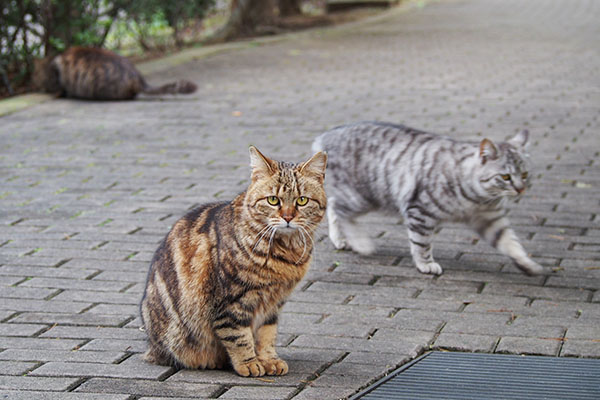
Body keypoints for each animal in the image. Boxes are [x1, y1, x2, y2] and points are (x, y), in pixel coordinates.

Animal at [141, 146, 328, 376]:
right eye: (273, 200)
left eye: (302, 200)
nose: (287, 217)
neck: (284, 253)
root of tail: (151, 347)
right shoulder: (231, 302)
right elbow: (238, 336)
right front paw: (249, 363)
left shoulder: (273, 304)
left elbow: (267, 335)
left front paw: (269, 359)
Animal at [314, 121, 544, 276]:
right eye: (505, 177)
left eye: (524, 174)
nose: (520, 189)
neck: (476, 199)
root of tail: (327, 135)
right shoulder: (420, 211)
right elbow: (421, 243)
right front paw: (425, 264)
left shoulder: (490, 219)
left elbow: (511, 242)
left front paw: (527, 264)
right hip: (362, 198)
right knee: (340, 210)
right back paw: (361, 244)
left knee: (332, 205)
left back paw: (341, 239)